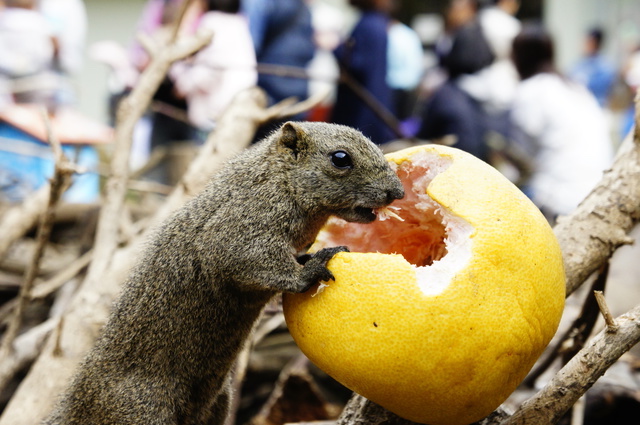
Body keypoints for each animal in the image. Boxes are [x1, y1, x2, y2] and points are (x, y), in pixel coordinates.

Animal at [46, 121, 404, 422]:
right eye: (340, 158)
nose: (397, 191)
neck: (277, 183)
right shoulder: (236, 233)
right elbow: (262, 265)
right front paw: (316, 266)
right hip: (142, 410)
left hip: (218, 402)